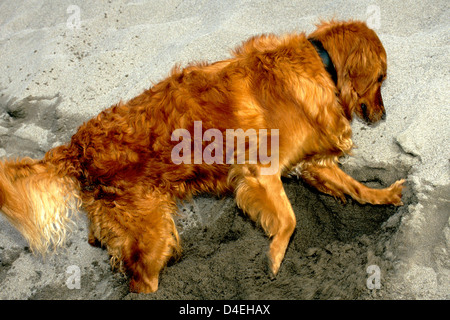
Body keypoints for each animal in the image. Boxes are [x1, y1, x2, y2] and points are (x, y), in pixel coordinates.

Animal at [0, 20, 404, 294]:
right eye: (380, 78)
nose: (383, 116)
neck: (319, 63)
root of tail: (77, 145)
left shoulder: (309, 164)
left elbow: (355, 187)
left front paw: (385, 195)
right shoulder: (260, 172)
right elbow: (289, 220)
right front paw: (274, 258)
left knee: (102, 239)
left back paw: (97, 239)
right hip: (153, 235)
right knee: (142, 280)